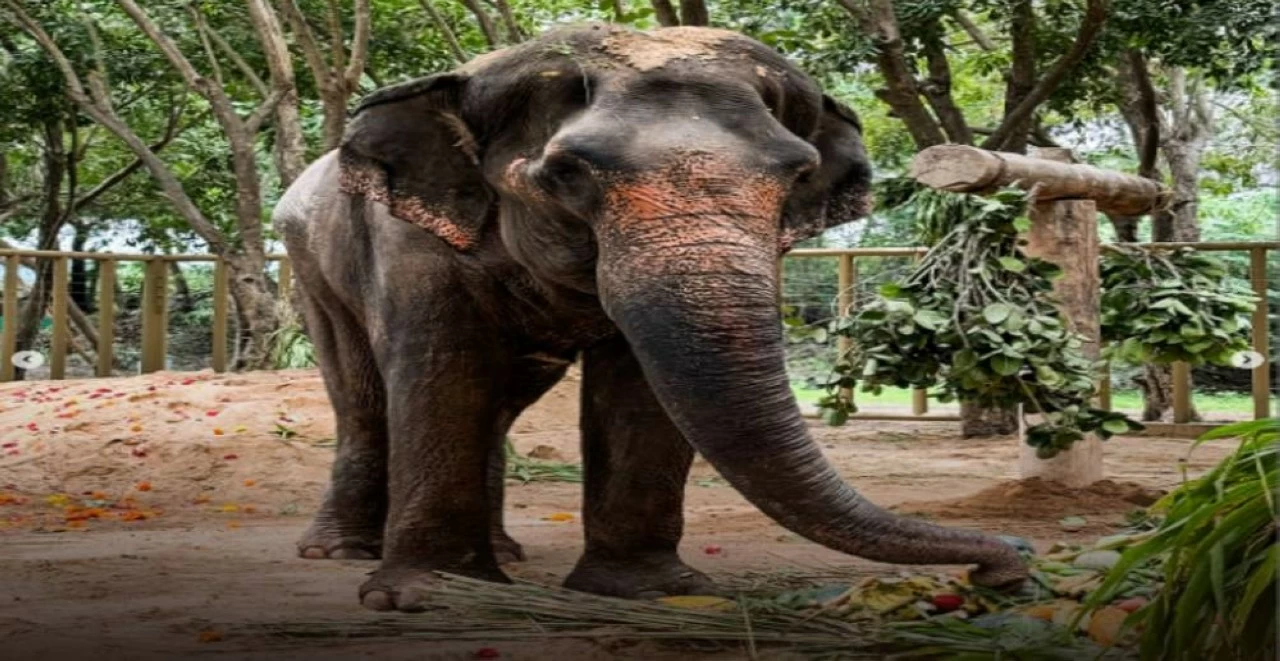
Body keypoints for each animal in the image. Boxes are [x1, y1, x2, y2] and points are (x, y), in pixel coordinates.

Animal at [273, 22, 1028, 613]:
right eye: (568, 174)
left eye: (797, 175)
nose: (1009, 564)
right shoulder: (411, 240)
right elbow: (444, 370)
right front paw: (432, 595)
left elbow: (640, 390)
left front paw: (652, 592)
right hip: (309, 264)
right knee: (364, 398)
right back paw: (340, 551)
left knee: (499, 405)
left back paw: (506, 554)